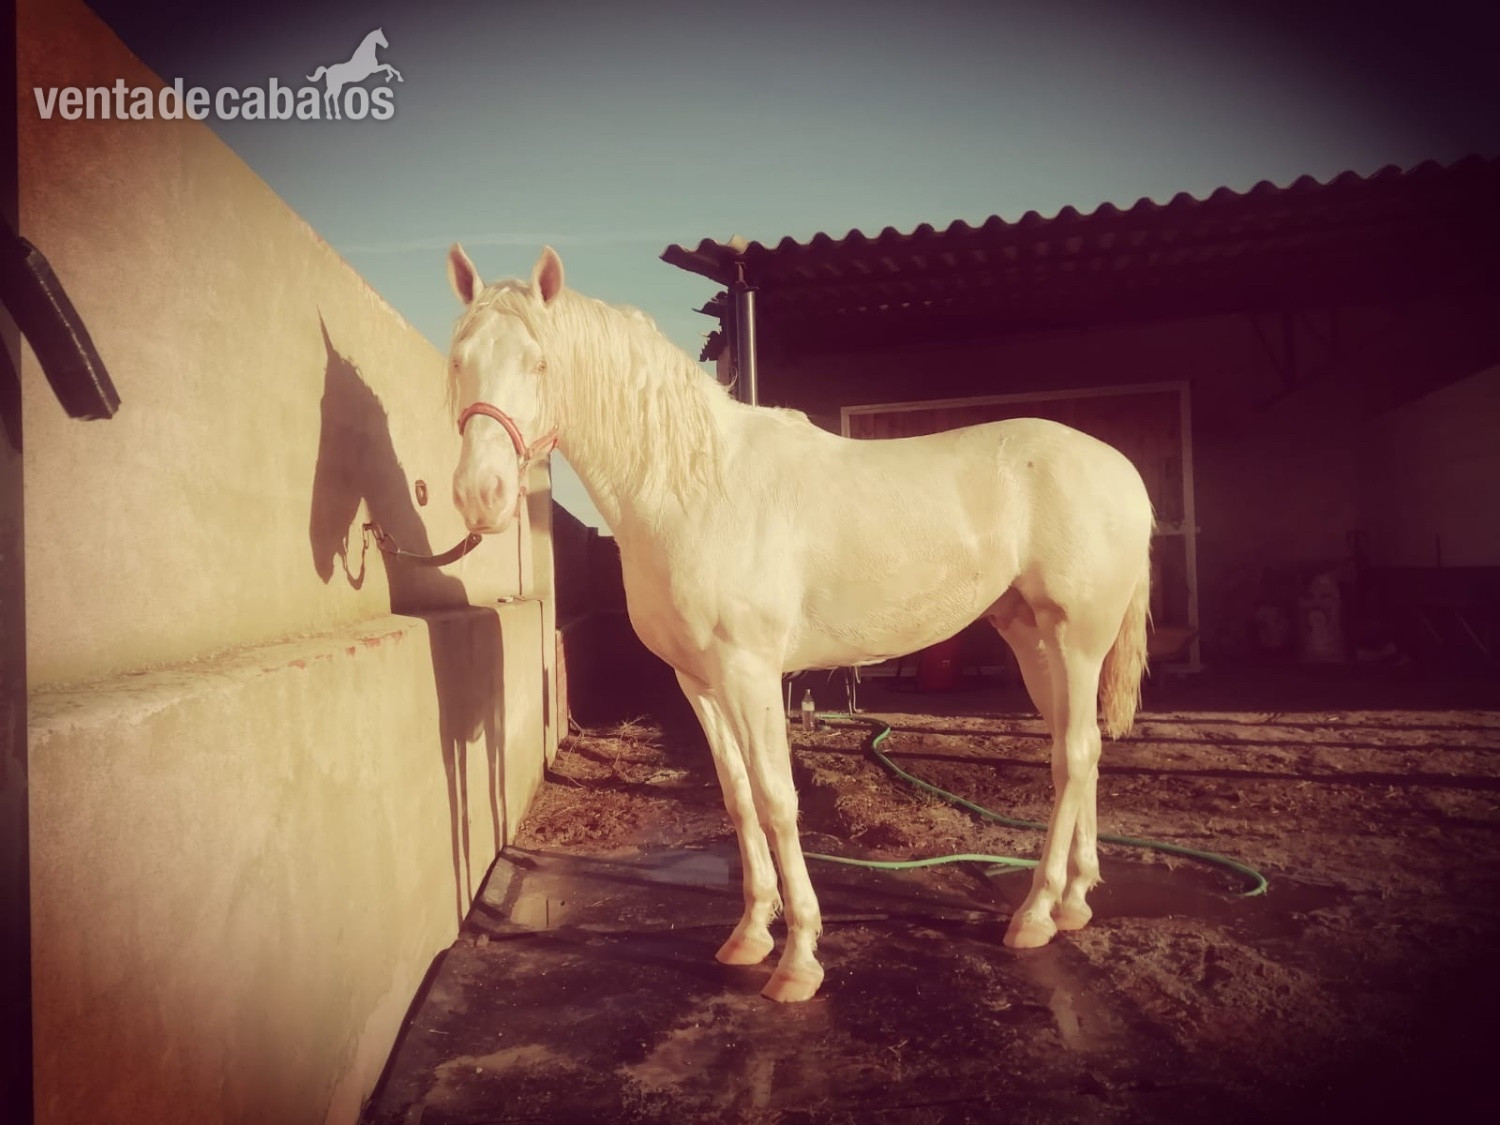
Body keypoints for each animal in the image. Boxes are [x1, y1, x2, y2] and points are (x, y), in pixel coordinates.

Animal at [442, 245, 1154, 1003]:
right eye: (459, 361)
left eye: (540, 363)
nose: (480, 496)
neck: (692, 489)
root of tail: (1121, 471)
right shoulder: (698, 682)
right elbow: (737, 798)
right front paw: (751, 934)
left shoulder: (752, 674)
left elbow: (779, 800)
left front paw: (799, 959)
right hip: (1031, 640)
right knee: (1082, 753)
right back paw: (1074, 900)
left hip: (1077, 641)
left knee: (1071, 755)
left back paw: (1035, 914)